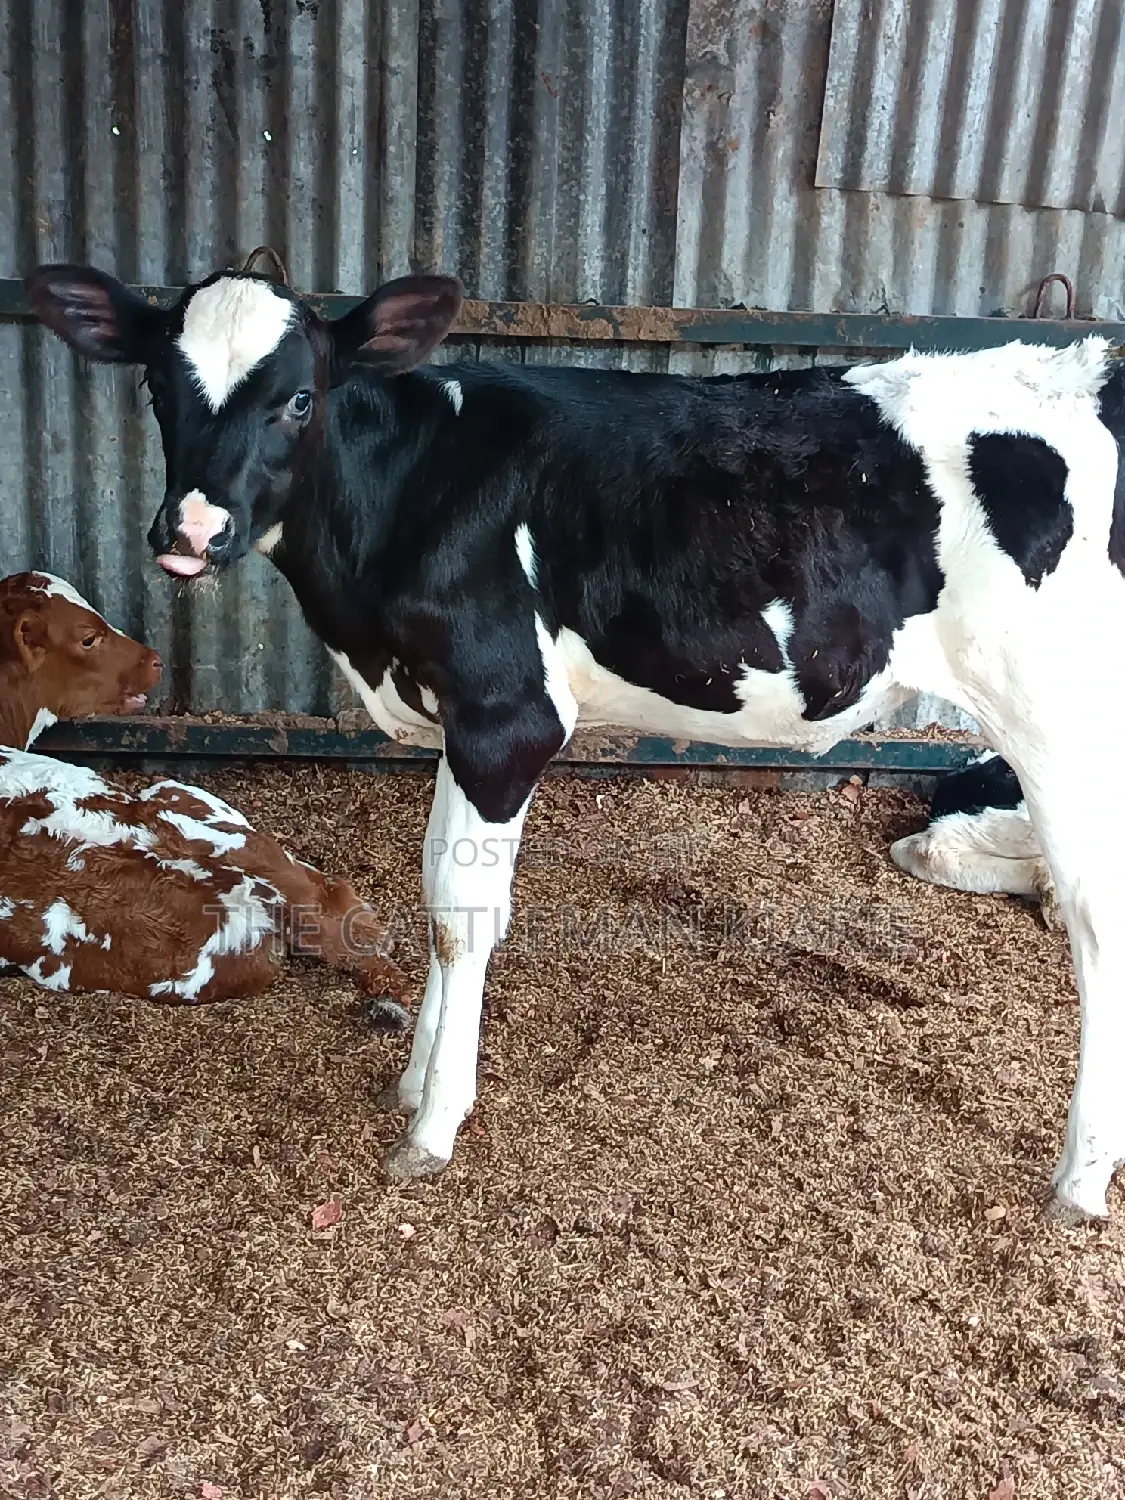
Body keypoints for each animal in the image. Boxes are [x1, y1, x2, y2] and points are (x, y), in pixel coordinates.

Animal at [25, 261, 1125, 1219]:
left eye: (300, 398)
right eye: (159, 387)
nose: (189, 532)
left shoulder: (508, 715)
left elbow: (464, 919)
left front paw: (435, 1123)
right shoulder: (457, 720)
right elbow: (438, 891)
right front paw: (416, 1080)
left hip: (1057, 718)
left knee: (1096, 919)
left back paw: (1078, 1180)